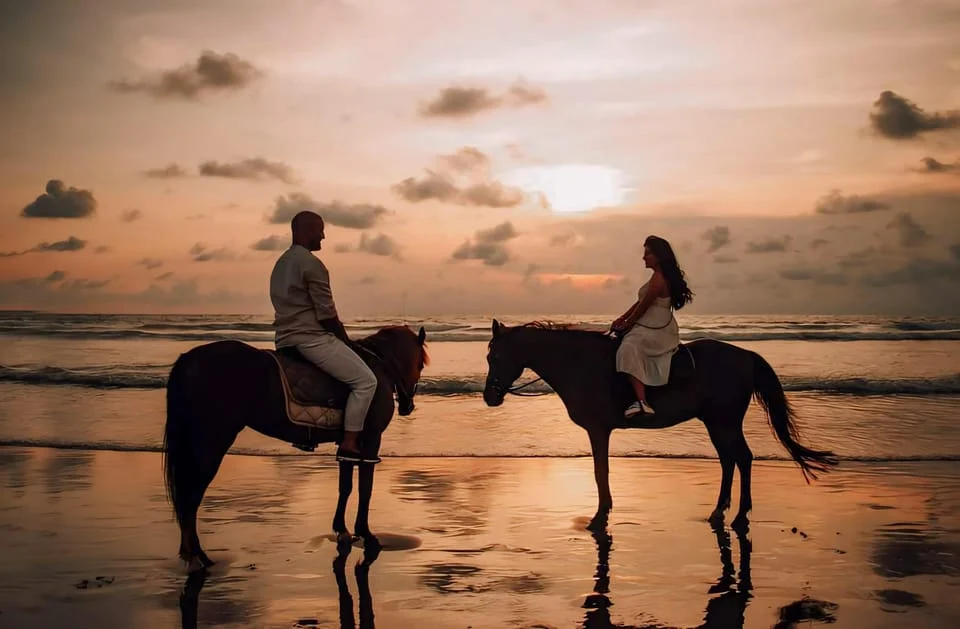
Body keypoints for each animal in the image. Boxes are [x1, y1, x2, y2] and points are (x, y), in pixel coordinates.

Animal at [163, 326, 426, 572]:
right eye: (421, 363)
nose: (407, 406)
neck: (380, 366)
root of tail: (188, 359)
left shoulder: (348, 444)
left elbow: (345, 487)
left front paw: (341, 530)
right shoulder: (371, 439)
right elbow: (365, 488)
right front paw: (366, 533)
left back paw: (195, 555)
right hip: (211, 441)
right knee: (191, 496)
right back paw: (197, 556)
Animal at [484, 318, 836, 528]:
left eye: (495, 357)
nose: (489, 397)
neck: (578, 364)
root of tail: (745, 355)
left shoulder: (598, 430)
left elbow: (600, 471)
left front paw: (600, 516)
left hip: (724, 421)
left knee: (742, 458)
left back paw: (738, 515)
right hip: (716, 422)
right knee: (729, 460)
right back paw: (720, 512)